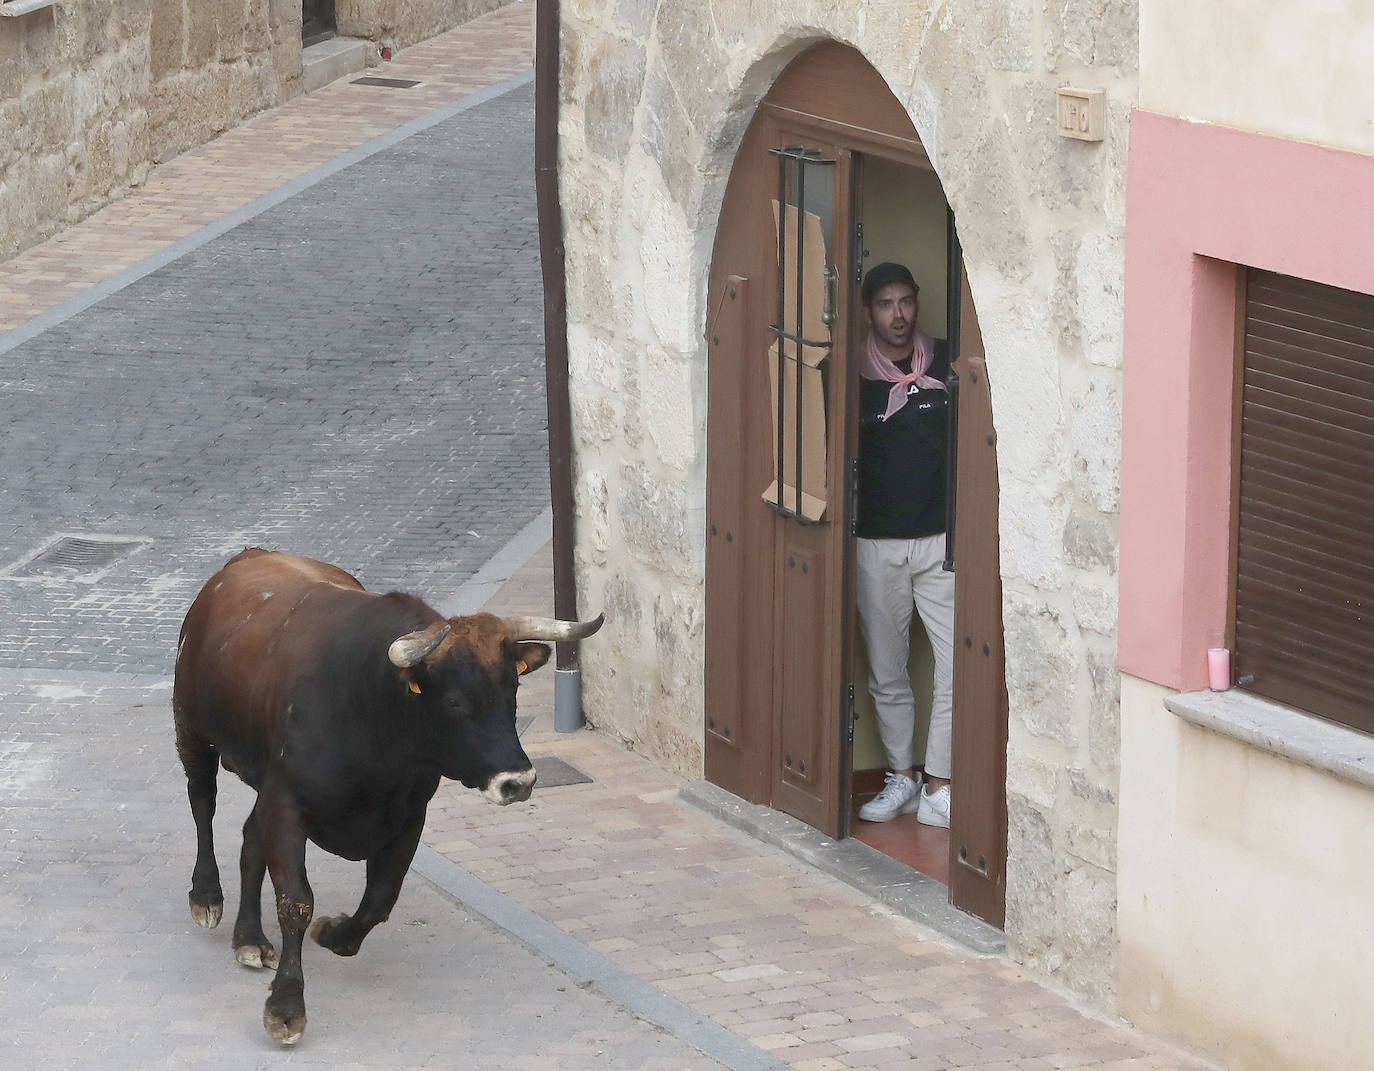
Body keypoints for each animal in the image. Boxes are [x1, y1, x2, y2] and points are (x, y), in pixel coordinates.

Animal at [171, 549, 601, 1044]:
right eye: (454, 700)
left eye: (512, 689)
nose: (518, 781)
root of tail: (249, 556)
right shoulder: (288, 805)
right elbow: (296, 902)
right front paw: (286, 1007)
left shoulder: (407, 816)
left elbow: (379, 900)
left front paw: (334, 934)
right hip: (191, 728)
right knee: (202, 801)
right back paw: (207, 896)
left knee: (250, 839)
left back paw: (249, 940)